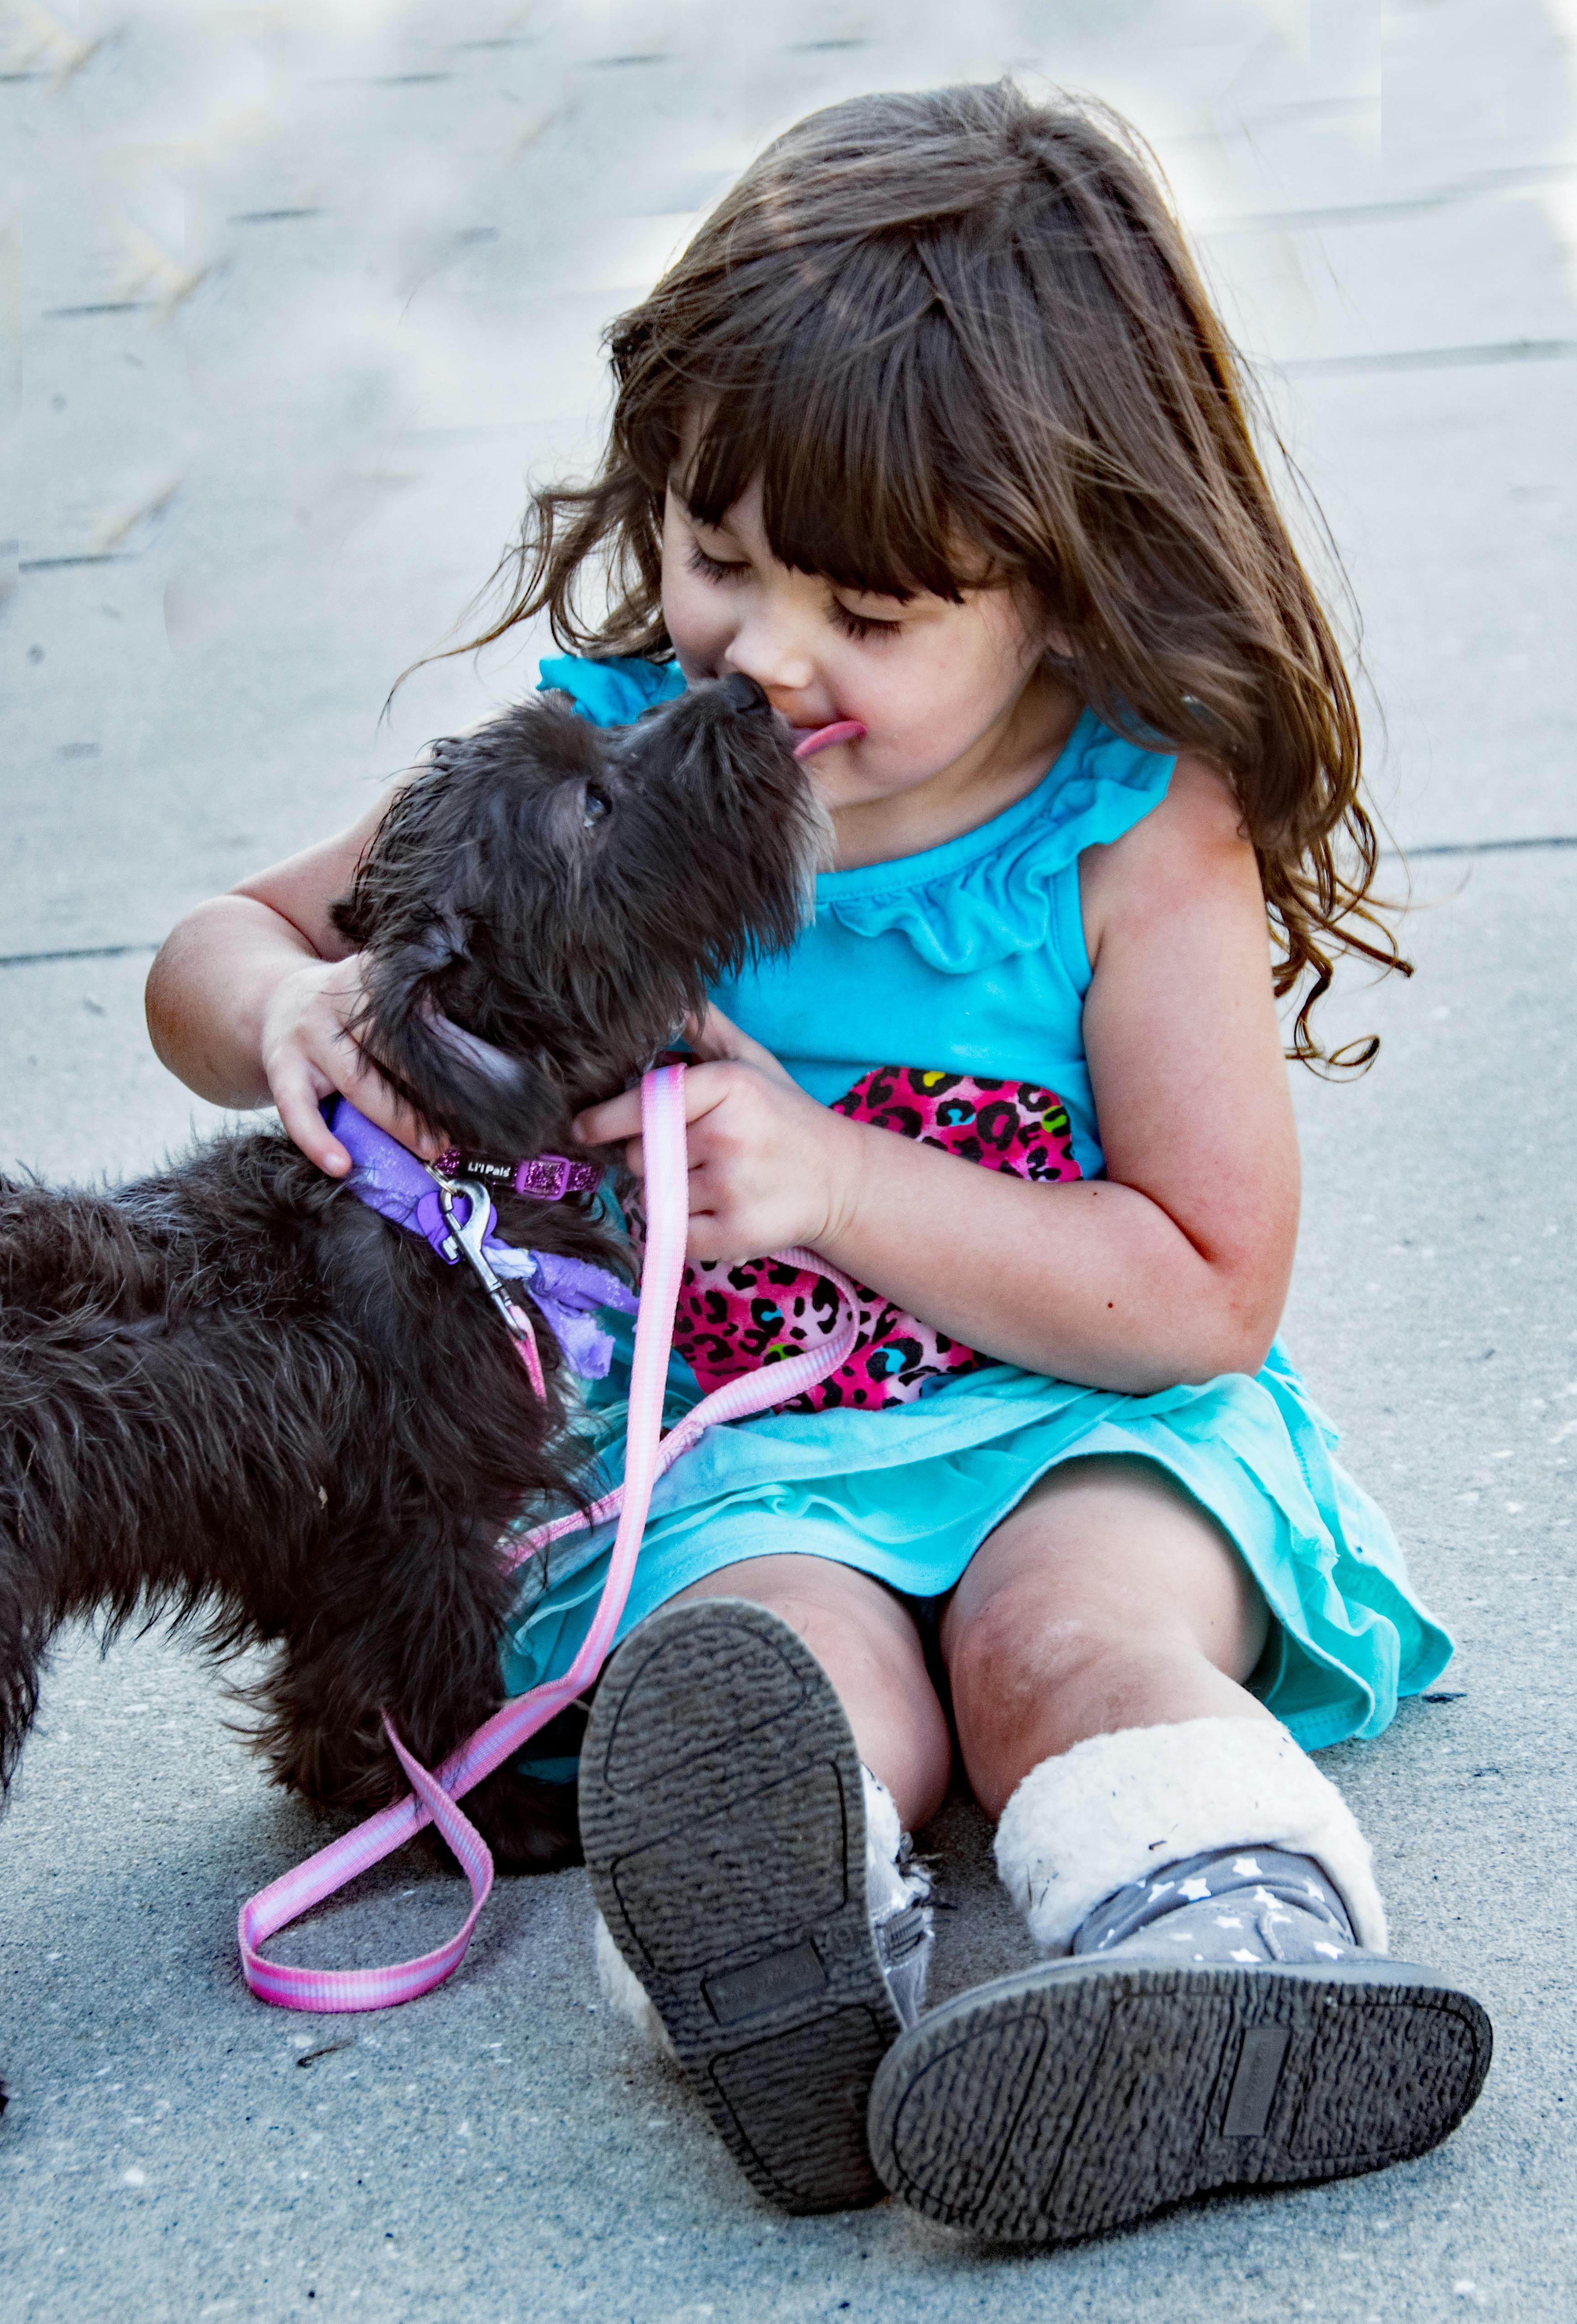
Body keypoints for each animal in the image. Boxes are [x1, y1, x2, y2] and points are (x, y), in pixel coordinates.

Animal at [3, 669, 828, 1887]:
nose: (739, 689)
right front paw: (483, 1814)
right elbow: (429, 1672)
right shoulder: (423, 1519)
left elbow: (335, 1678)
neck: (442, 1182)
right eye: (590, 804)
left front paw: (359, 1788)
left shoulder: (337, 1550)